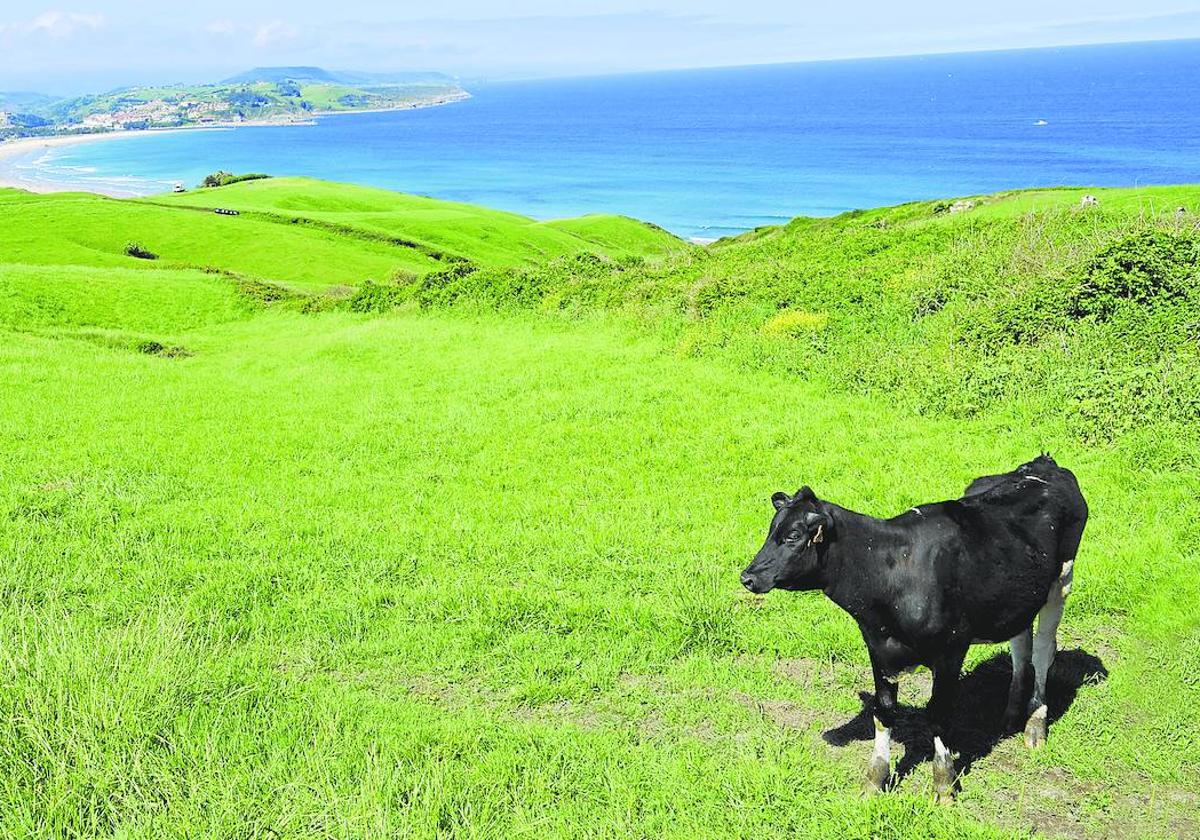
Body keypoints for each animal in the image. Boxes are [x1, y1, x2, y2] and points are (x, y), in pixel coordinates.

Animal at [739, 456, 1089, 801]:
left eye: (793, 535)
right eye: (772, 530)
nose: (747, 577)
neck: (893, 570)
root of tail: (1043, 464)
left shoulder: (951, 650)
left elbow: (938, 715)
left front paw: (944, 785)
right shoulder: (878, 645)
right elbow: (883, 712)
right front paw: (875, 781)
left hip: (1061, 581)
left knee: (1043, 651)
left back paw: (1035, 725)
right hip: (1017, 596)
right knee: (1021, 645)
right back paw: (1012, 714)